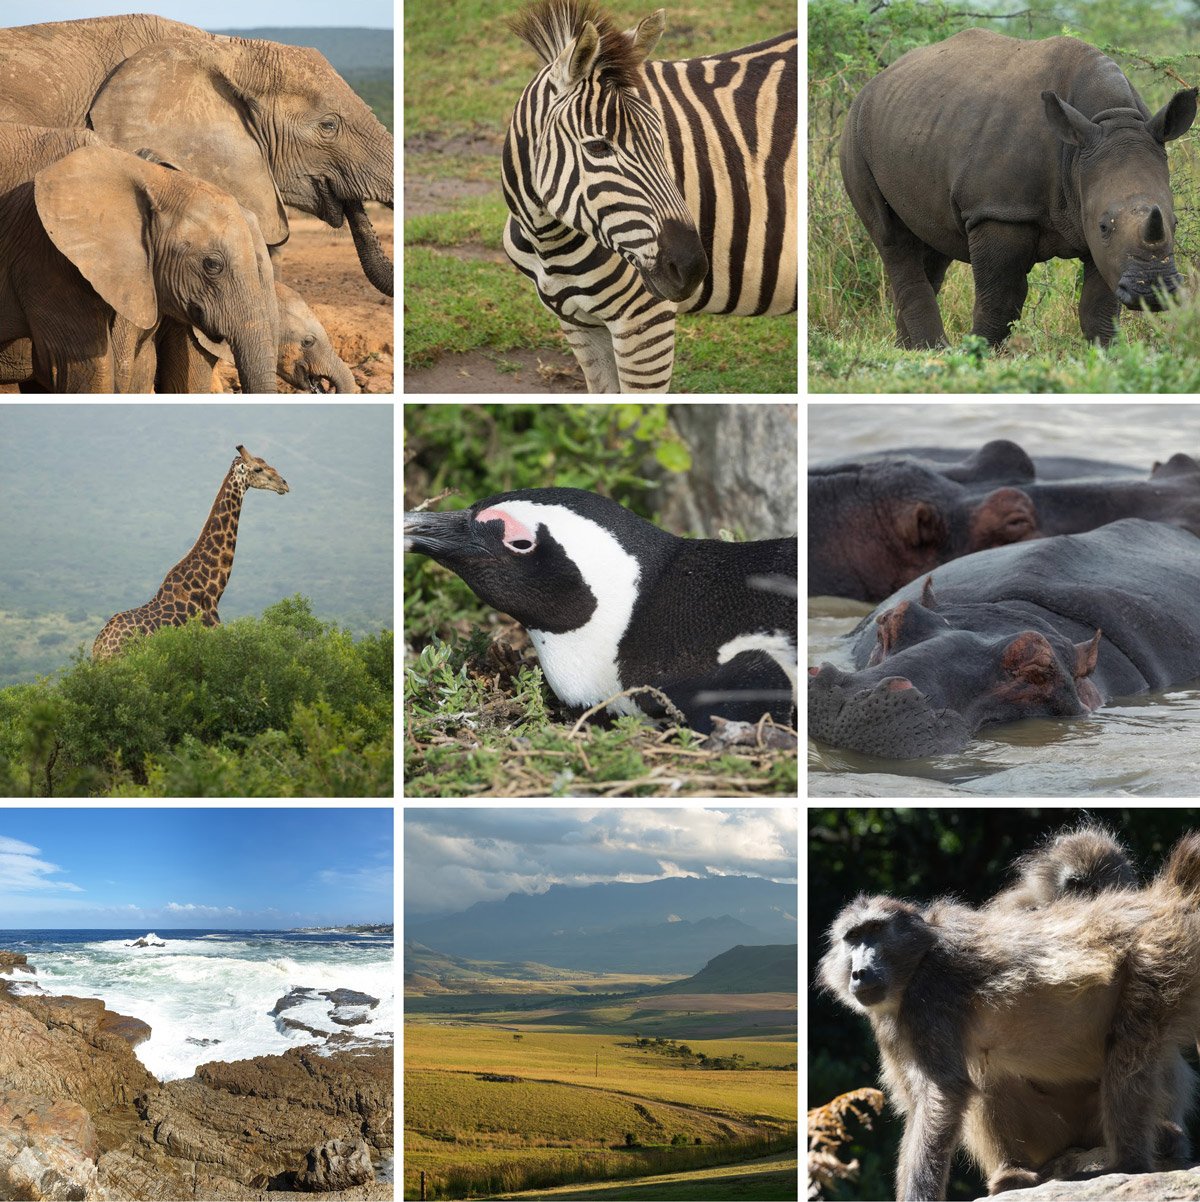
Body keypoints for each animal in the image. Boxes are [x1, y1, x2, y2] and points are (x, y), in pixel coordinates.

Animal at [502, 0, 797, 393]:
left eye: (661, 138)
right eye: (598, 147)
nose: (692, 267)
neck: (547, 240)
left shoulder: (645, 323)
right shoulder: (579, 323)